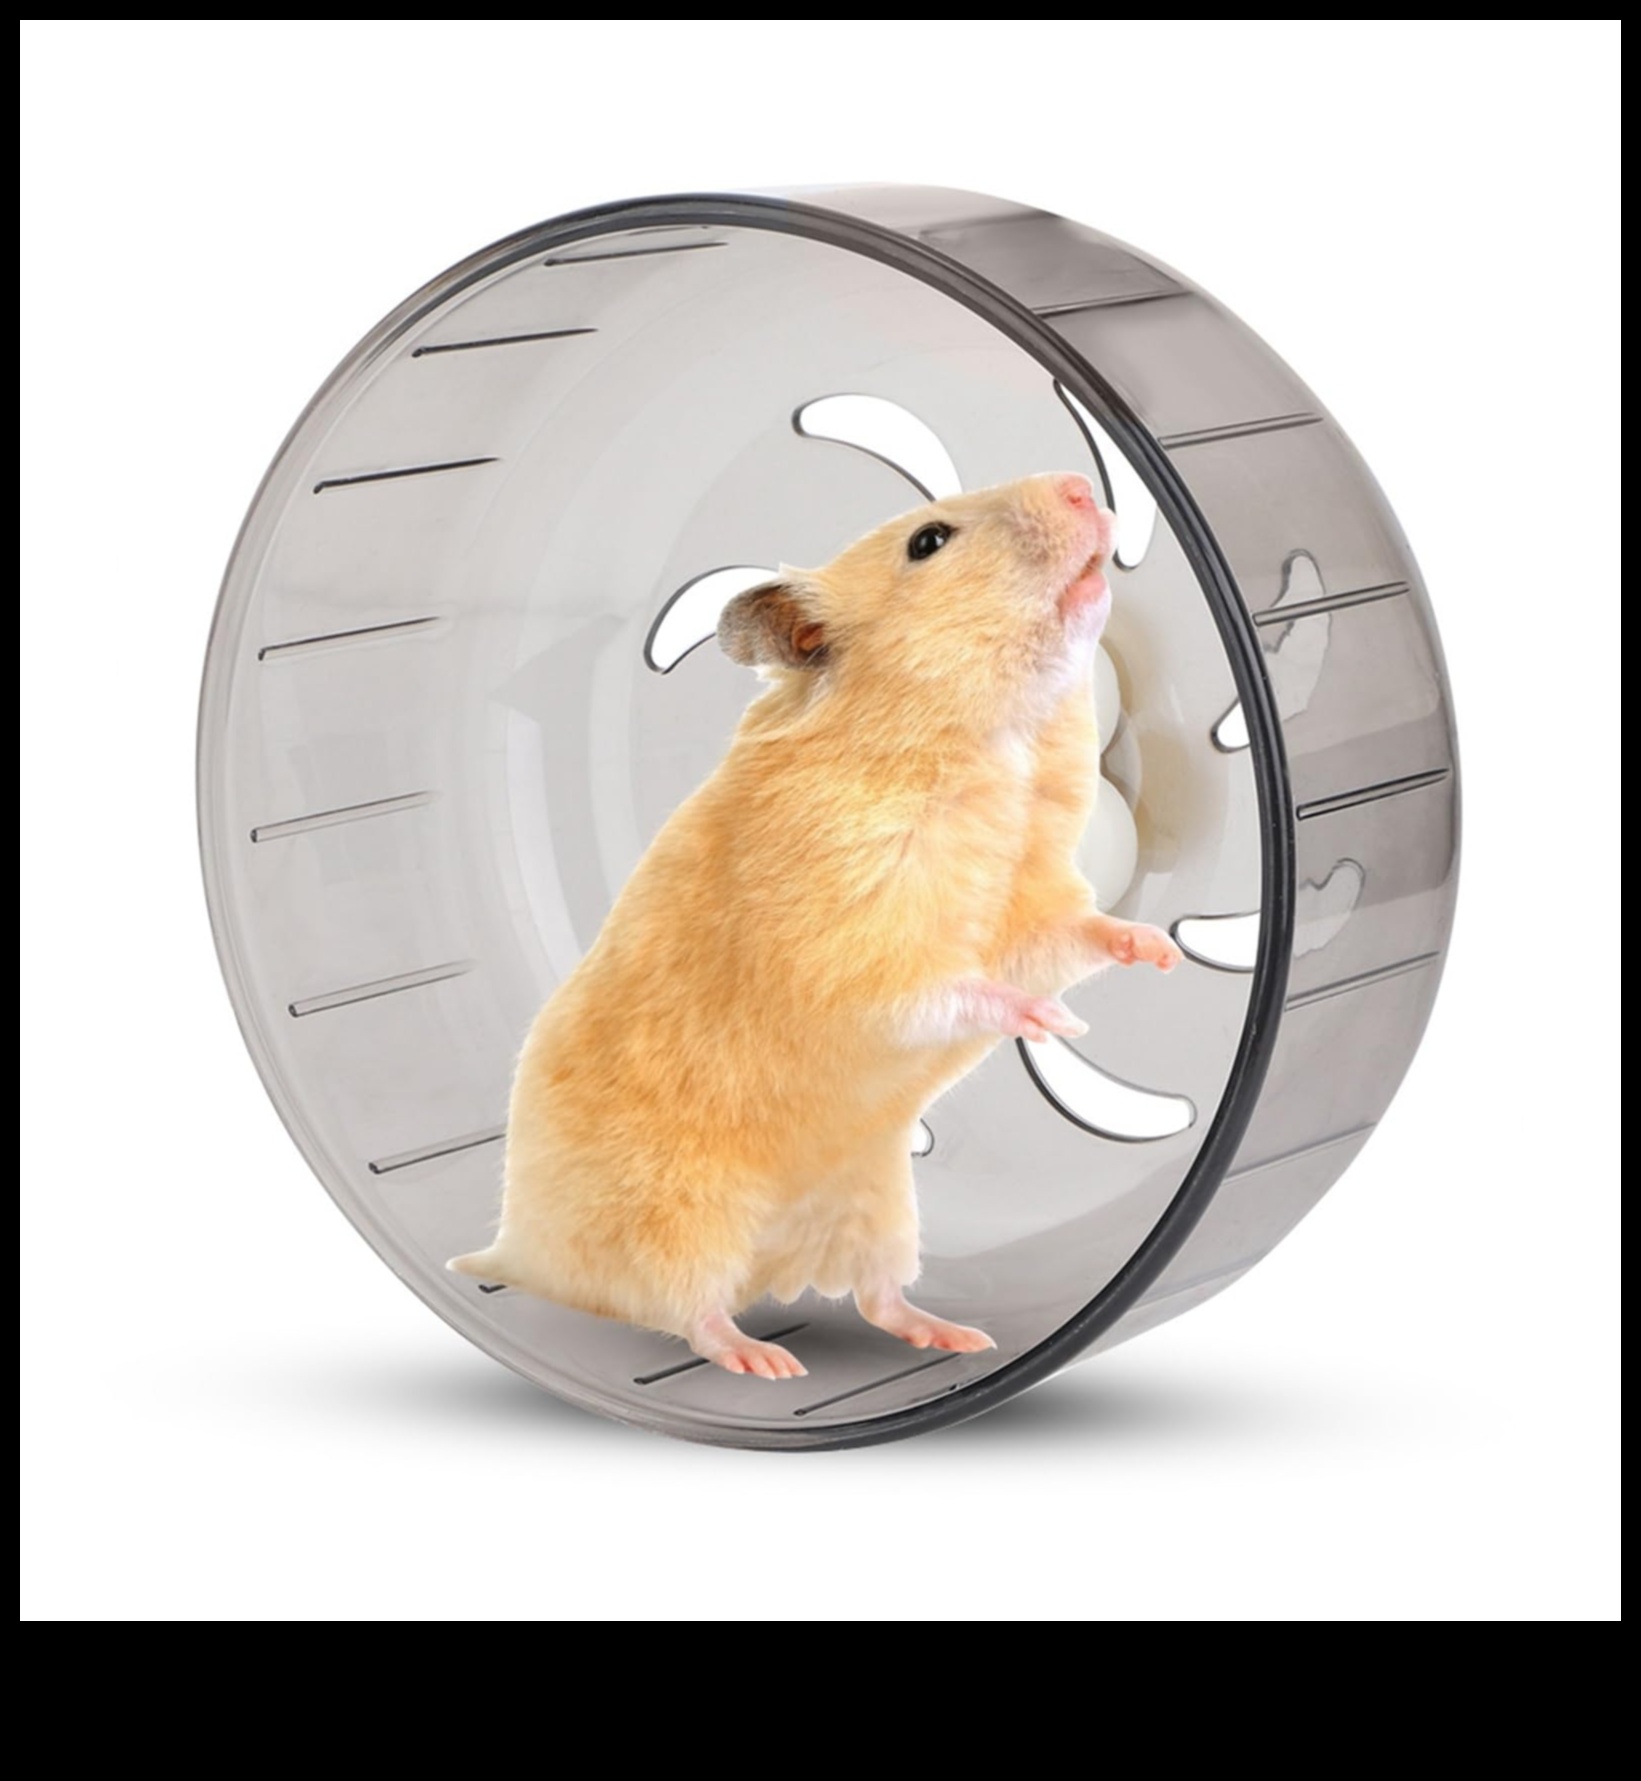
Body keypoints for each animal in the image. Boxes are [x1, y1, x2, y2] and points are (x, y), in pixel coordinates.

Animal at [450, 472, 1182, 1378]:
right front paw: (1049, 1021)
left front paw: (1157, 950)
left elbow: (1075, 933)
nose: (1081, 484)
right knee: (687, 1310)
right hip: (680, 1216)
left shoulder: (1030, 907)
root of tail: (517, 1246)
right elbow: (944, 990)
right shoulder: (854, 947)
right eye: (928, 541)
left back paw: (956, 1336)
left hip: (875, 1200)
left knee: (874, 1297)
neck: (990, 743)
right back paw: (766, 1360)